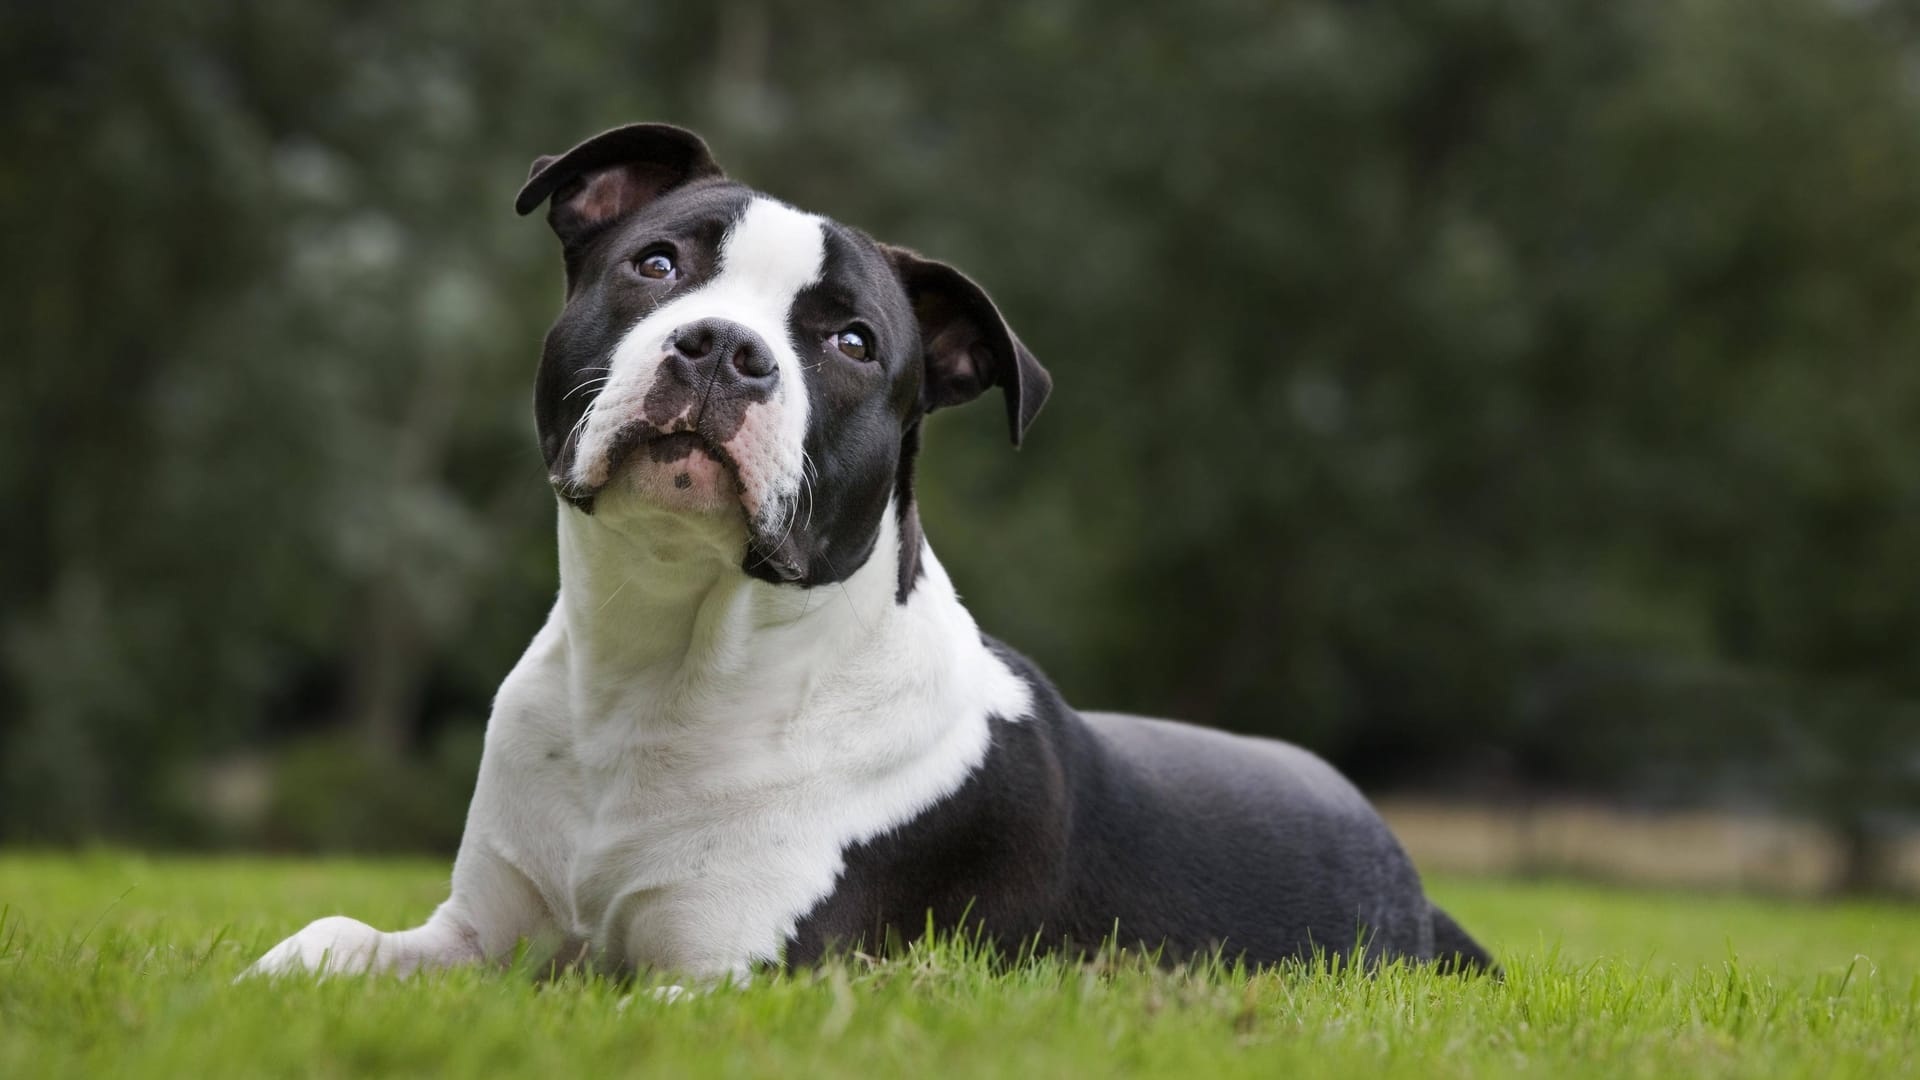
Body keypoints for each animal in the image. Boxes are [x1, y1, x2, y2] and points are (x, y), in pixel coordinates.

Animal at [243, 122, 1497, 980]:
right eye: (657, 264)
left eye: (852, 342)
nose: (723, 349)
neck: (664, 661)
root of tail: (1405, 864)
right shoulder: (472, 934)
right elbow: (320, 937)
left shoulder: (726, 976)